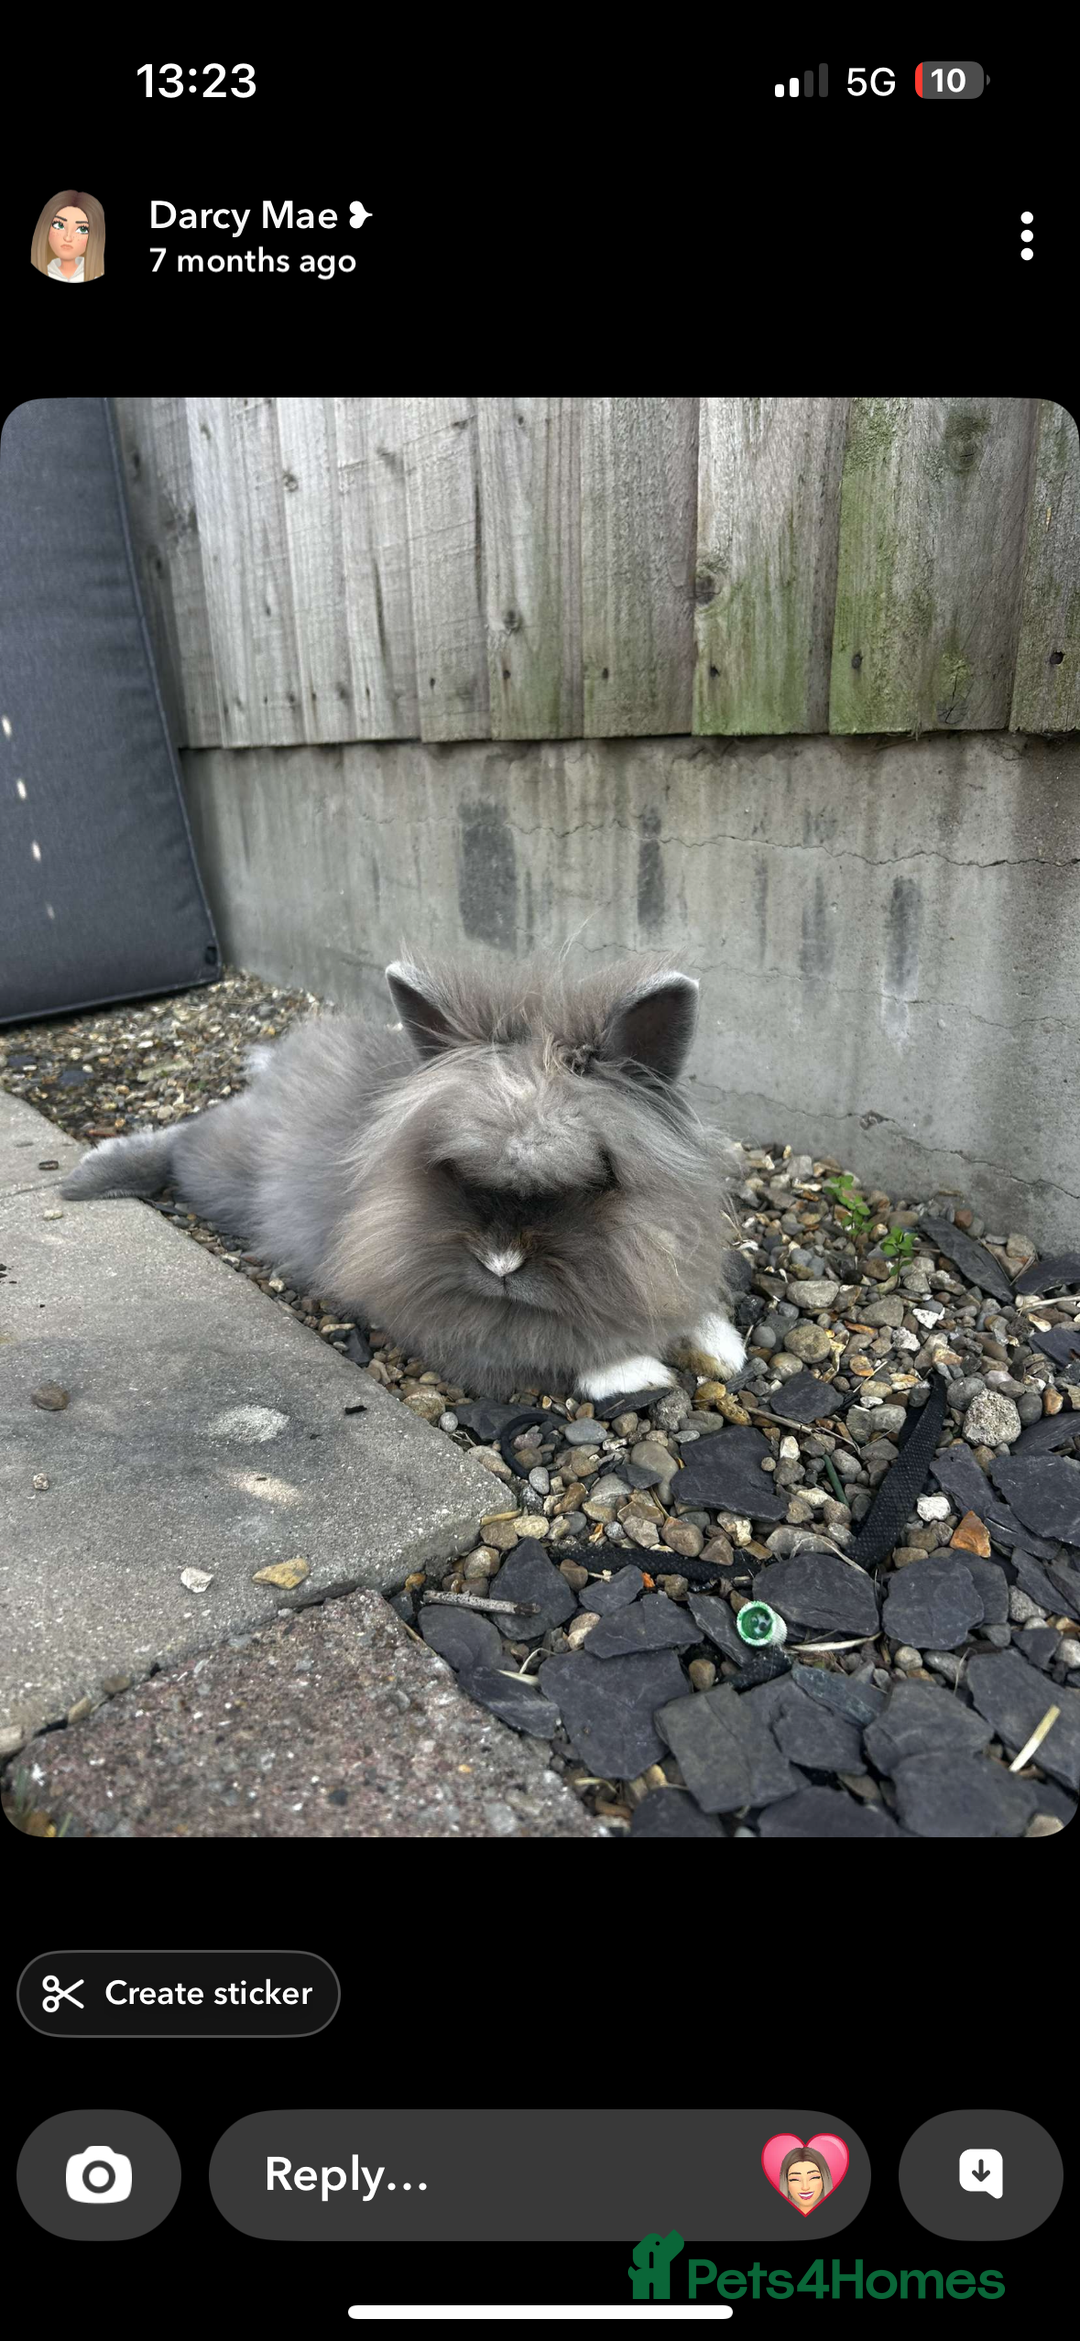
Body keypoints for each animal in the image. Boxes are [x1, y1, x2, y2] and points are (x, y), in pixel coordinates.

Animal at [59, 941, 748, 1404]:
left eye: (598, 1178)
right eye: (447, 1168)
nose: (500, 1265)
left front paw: (723, 1347)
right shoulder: (441, 1309)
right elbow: (548, 1342)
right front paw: (634, 1369)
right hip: (221, 1172)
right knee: (183, 1142)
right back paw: (90, 1176)